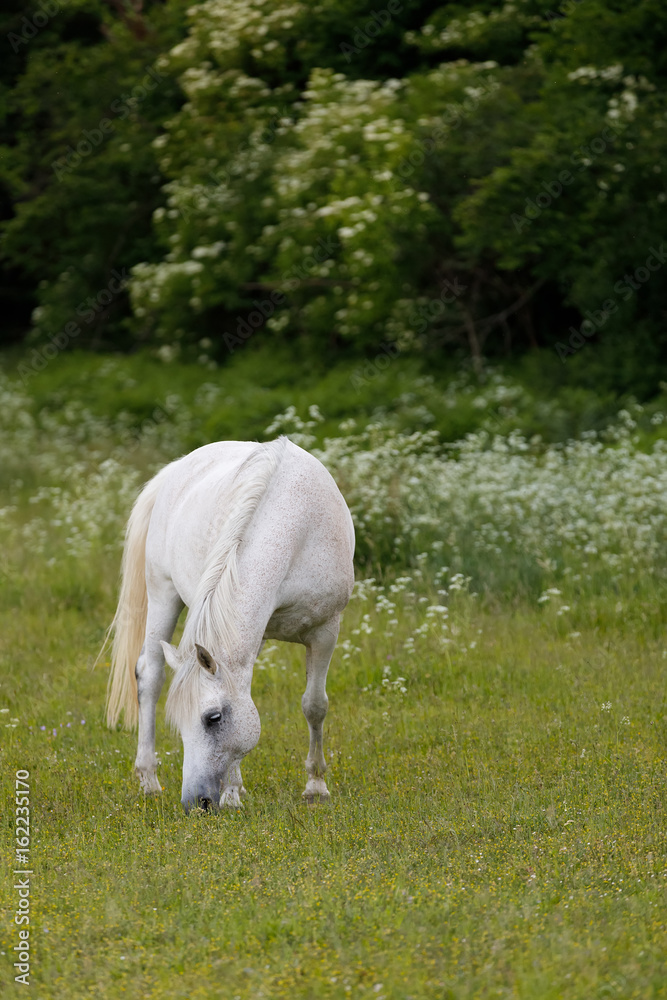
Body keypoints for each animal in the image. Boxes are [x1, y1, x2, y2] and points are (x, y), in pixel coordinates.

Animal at [103, 436, 355, 811]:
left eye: (213, 718)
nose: (194, 803)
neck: (296, 529)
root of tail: (175, 469)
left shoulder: (325, 631)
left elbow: (315, 705)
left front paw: (315, 786)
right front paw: (233, 793)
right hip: (162, 594)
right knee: (150, 675)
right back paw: (149, 779)